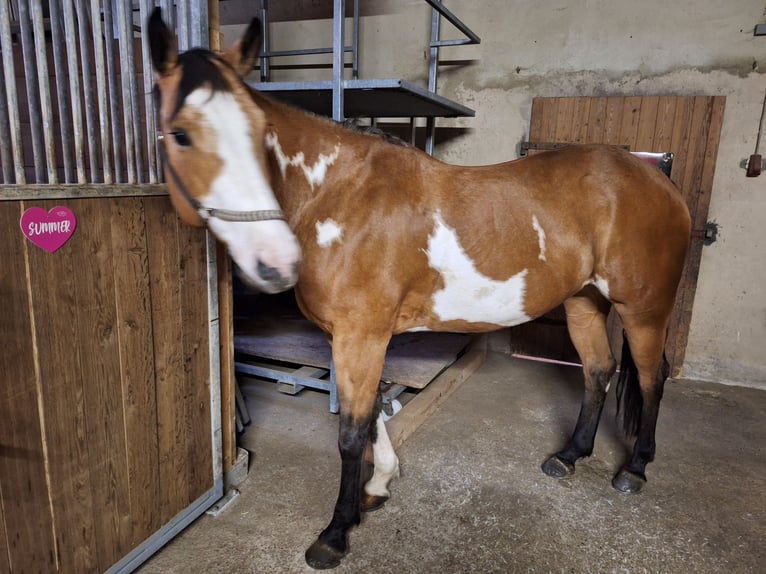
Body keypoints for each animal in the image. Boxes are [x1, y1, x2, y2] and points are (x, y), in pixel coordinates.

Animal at [148, 9, 691, 569]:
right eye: (180, 134)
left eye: (259, 134)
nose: (274, 261)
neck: (336, 196)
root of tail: (659, 183)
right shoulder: (352, 338)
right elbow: (370, 416)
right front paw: (378, 487)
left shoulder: (361, 337)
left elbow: (351, 434)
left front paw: (337, 532)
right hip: (585, 302)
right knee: (598, 370)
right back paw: (569, 456)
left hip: (642, 308)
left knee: (650, 377)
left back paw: (634, 468)